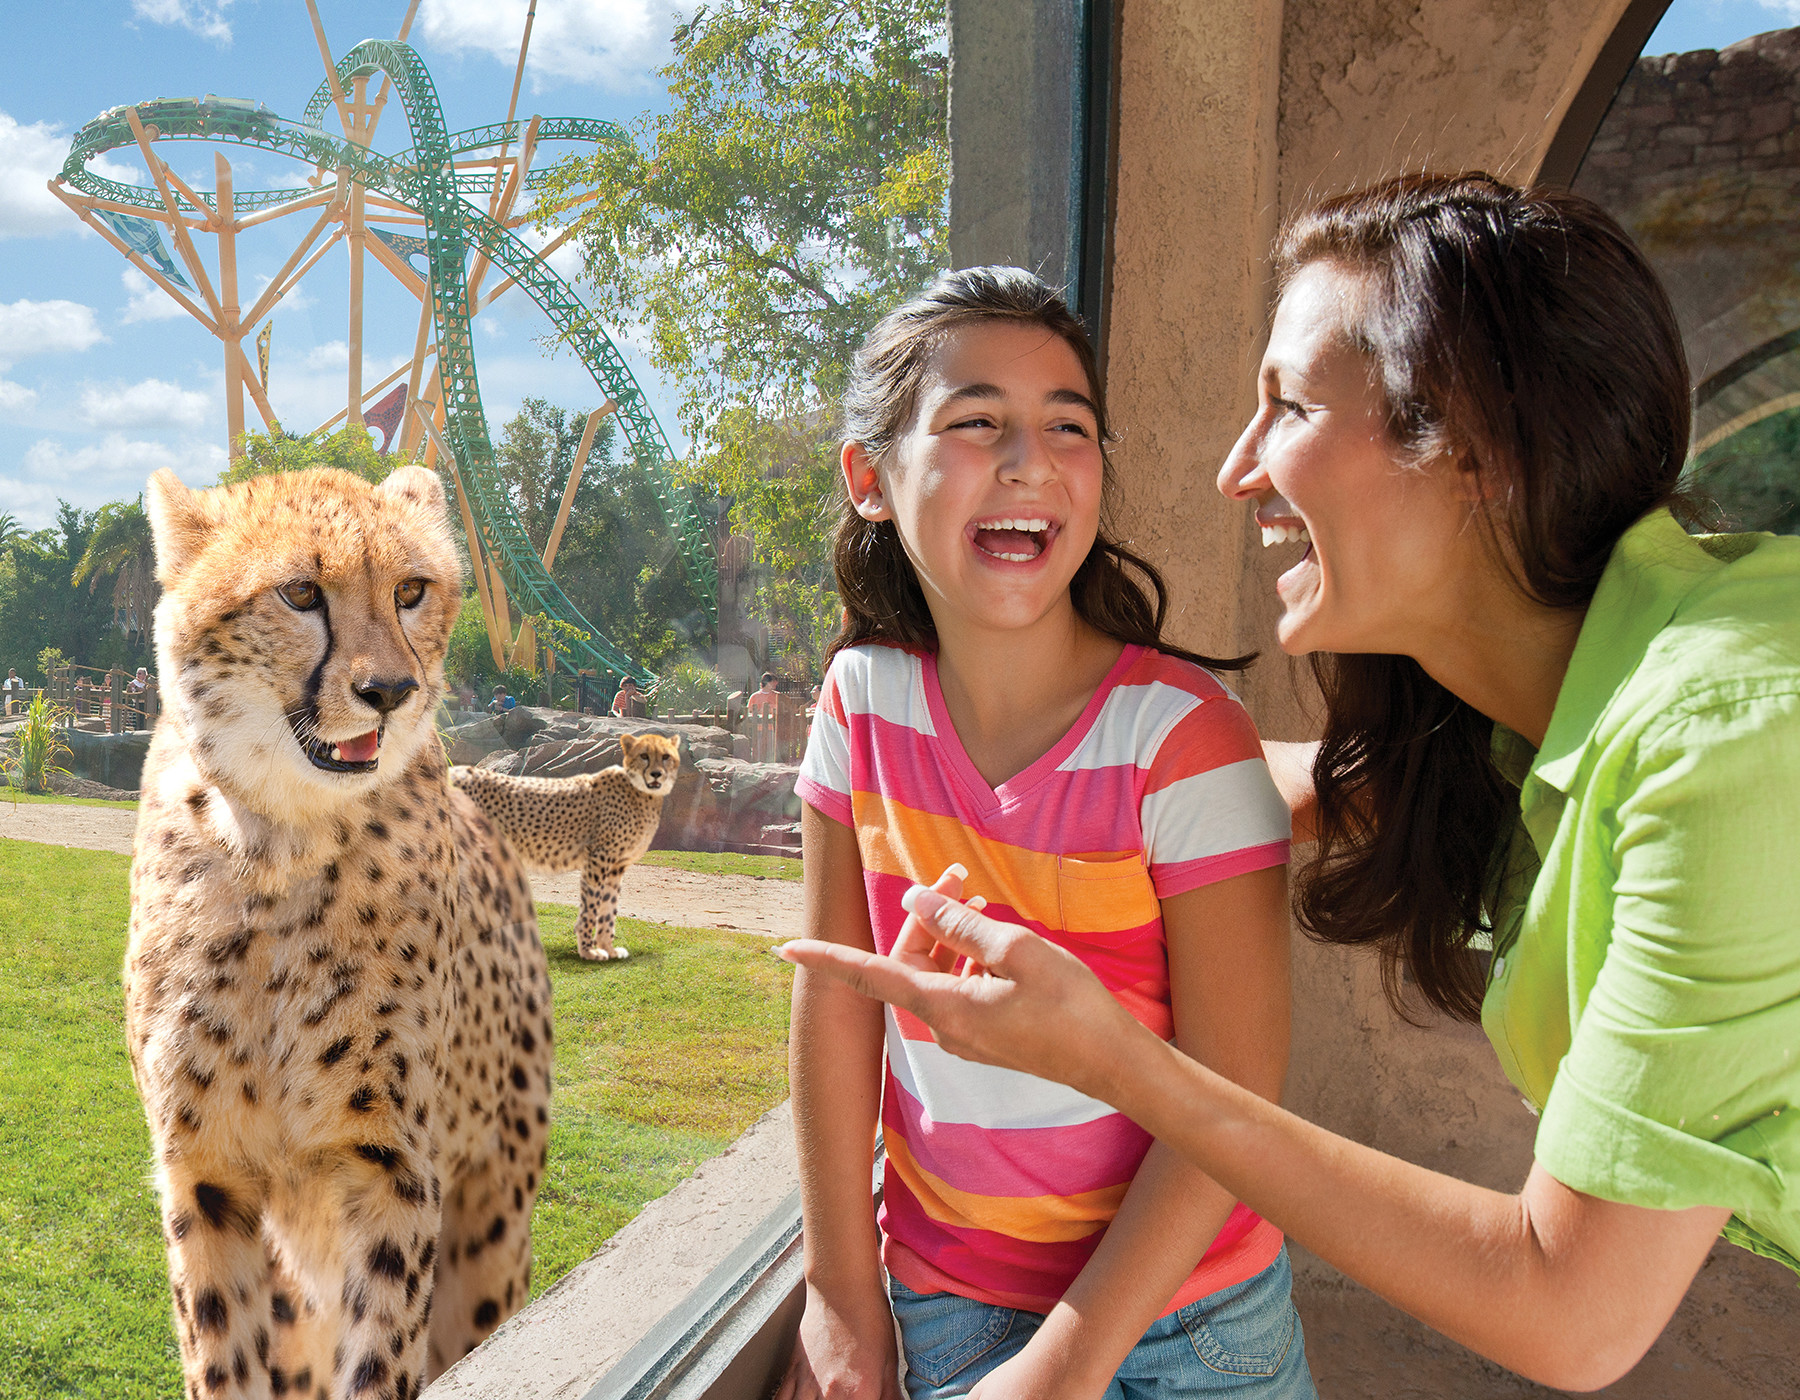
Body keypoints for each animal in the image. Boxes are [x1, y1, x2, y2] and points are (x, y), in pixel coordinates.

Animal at [125, 464, 553, 1400]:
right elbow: (221, 1353)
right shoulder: (203, 1172)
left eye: (411, 591)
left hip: (492, 1231)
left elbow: (383, 1355)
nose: (388, 693)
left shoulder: (393, 1171)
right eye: (299, 594)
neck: (281, 851)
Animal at [449, 732, 681, 962]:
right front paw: (588, 951)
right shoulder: (598, 859)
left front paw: (609, 949)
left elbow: (609, 907)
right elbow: (592, 906)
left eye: (666, 756)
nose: (656, 774)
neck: (641, 793)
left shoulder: (617, 865)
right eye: (644, 756)